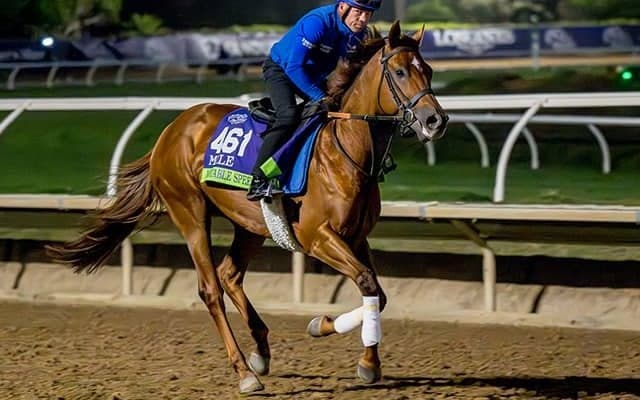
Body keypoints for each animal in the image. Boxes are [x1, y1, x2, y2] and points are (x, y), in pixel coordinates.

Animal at [46, 21, 448, 394]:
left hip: (251, 225)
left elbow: (377, 292)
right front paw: (332, 334)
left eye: (428, 70)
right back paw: (244, 373)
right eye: (400, 72)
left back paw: (261, 352)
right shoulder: (318, 237)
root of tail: (170, 131)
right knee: (211, 289)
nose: (435, 120)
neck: (344, 151)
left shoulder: (357, 236)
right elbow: (366, 283)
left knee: (229, 274)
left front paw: (361, 357)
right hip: (190, 213)